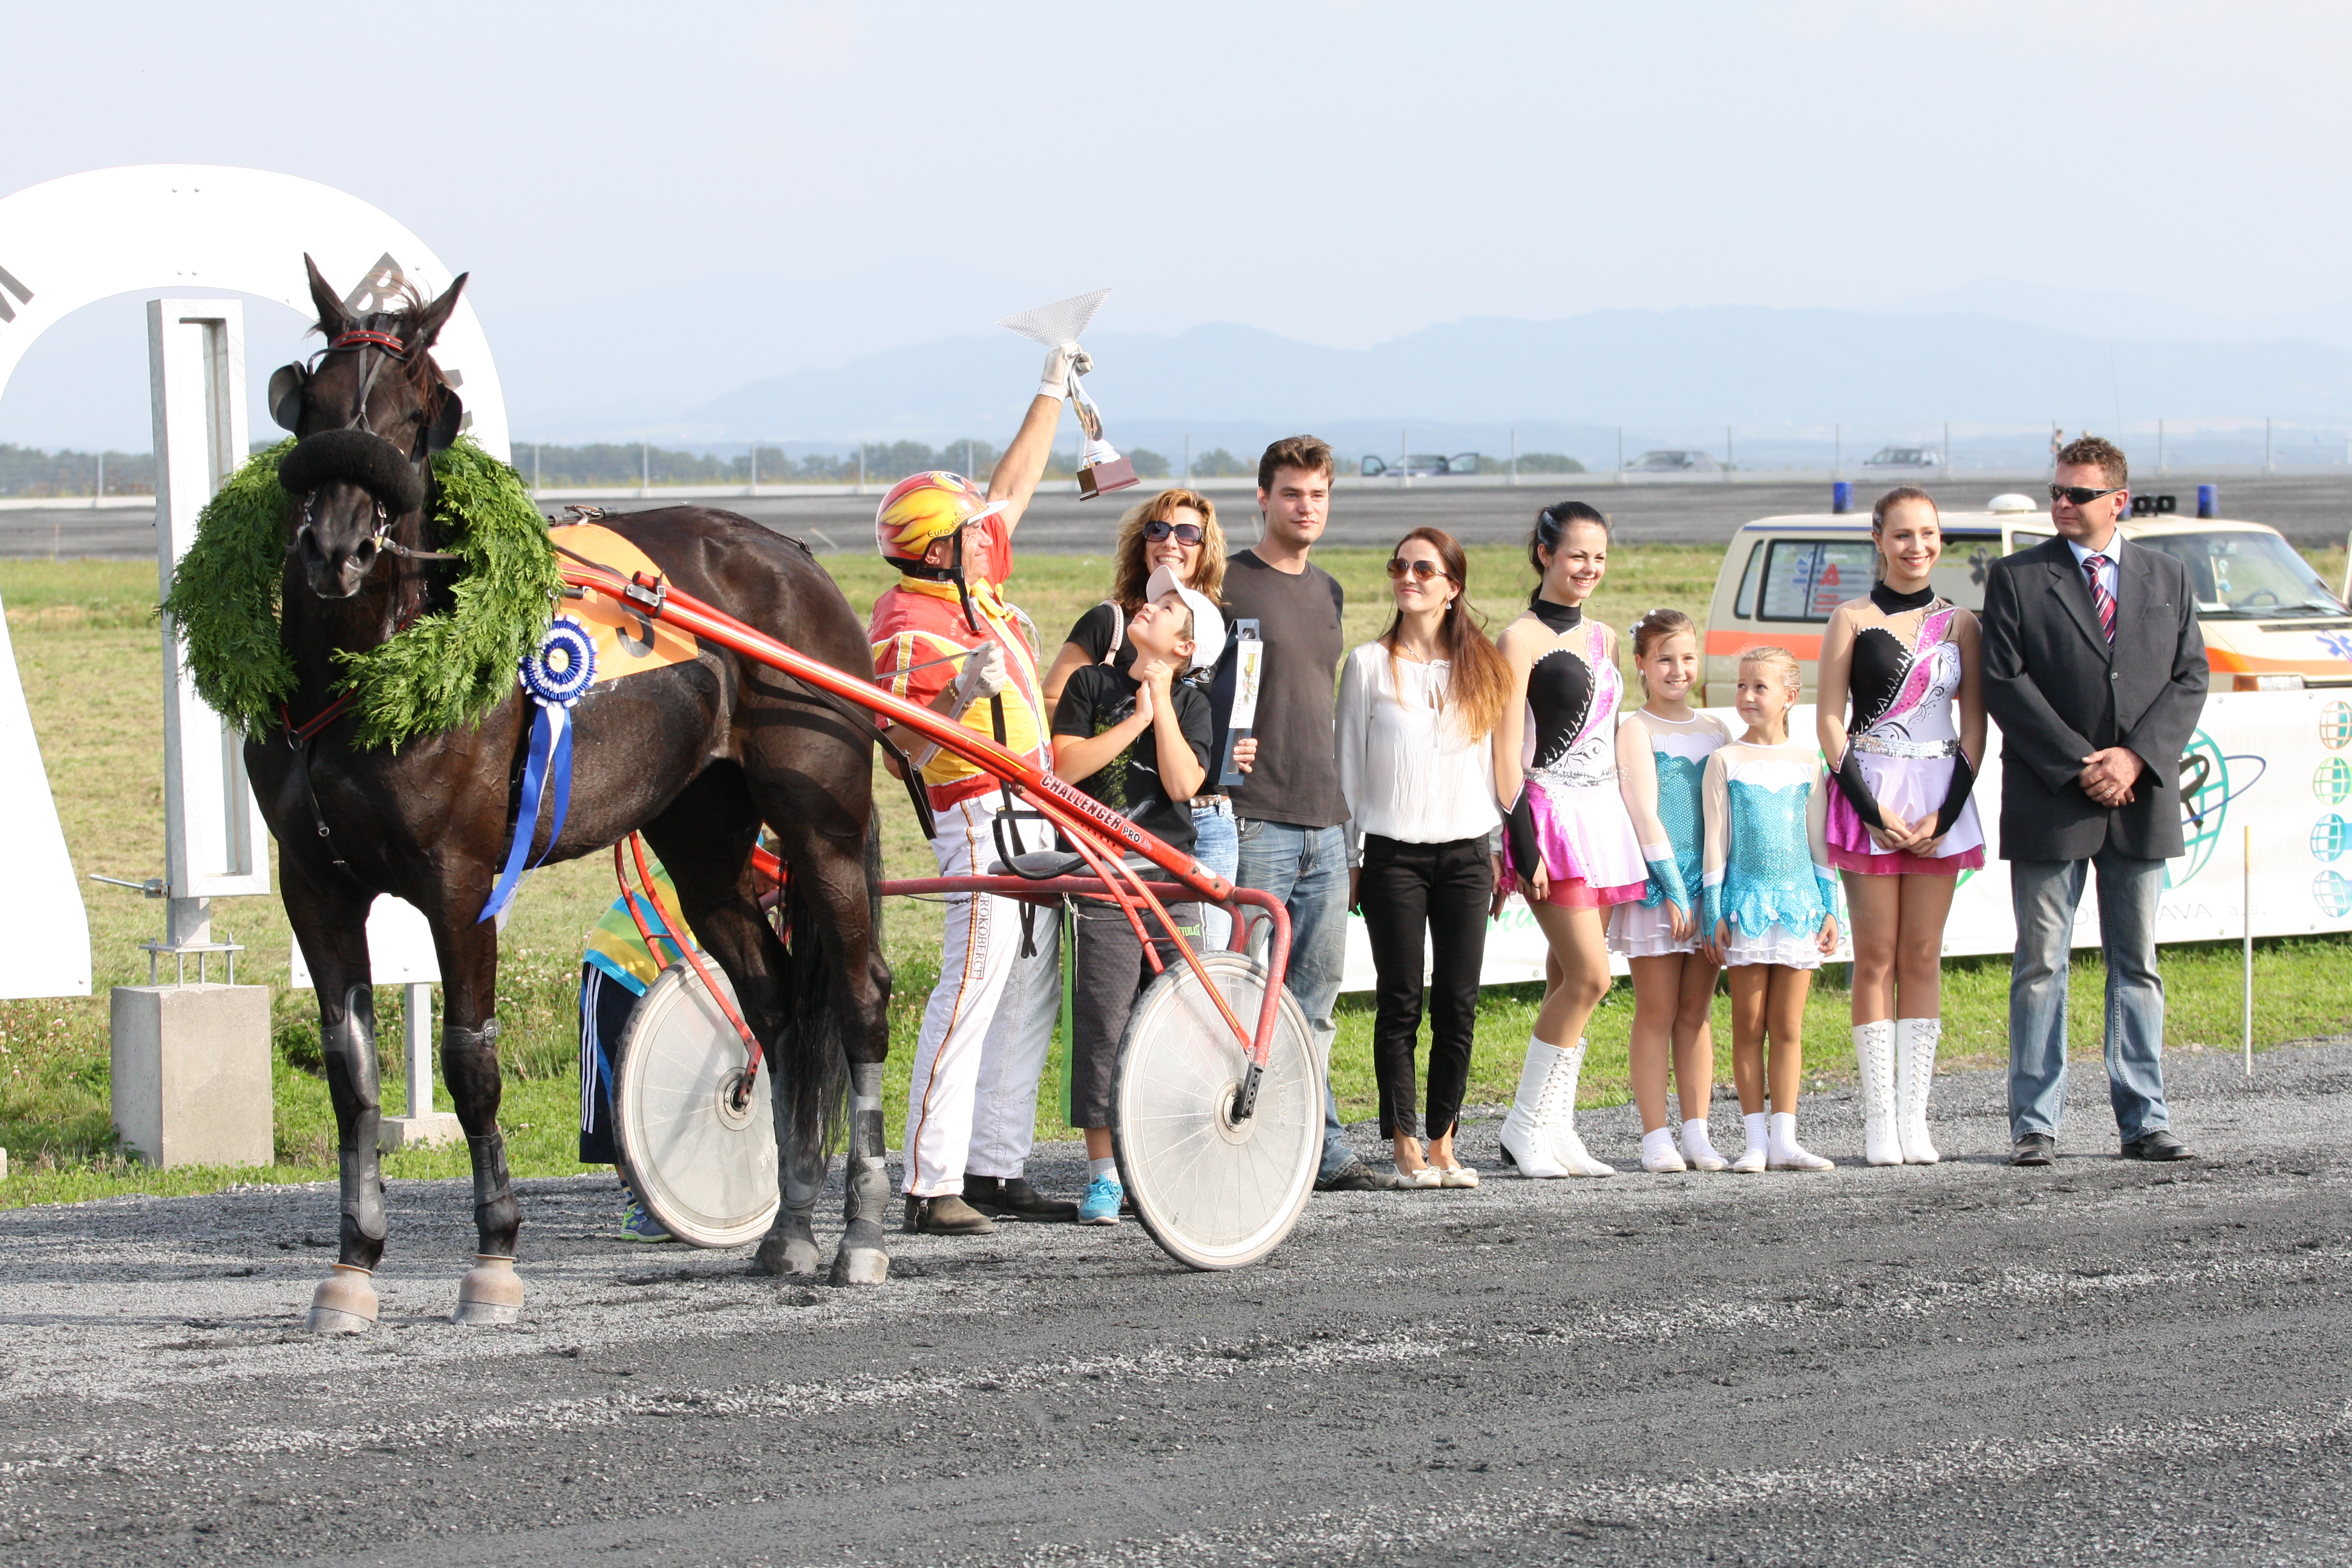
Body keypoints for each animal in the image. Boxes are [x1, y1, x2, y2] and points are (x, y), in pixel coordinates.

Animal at [248, 261, 889, 1325]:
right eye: (317, 406)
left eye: (418, 417)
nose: (337, 551)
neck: (360, 678)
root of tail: (792, 554)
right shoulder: (316, 883)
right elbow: (352, 1071)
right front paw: (353, 1264)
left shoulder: (461, 880)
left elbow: (471, 1060)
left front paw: (494, 1257)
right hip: (703, 835)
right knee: (774, 1006)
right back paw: (790, 1230)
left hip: (822, 819)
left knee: (857, 994)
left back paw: (864, 1236)